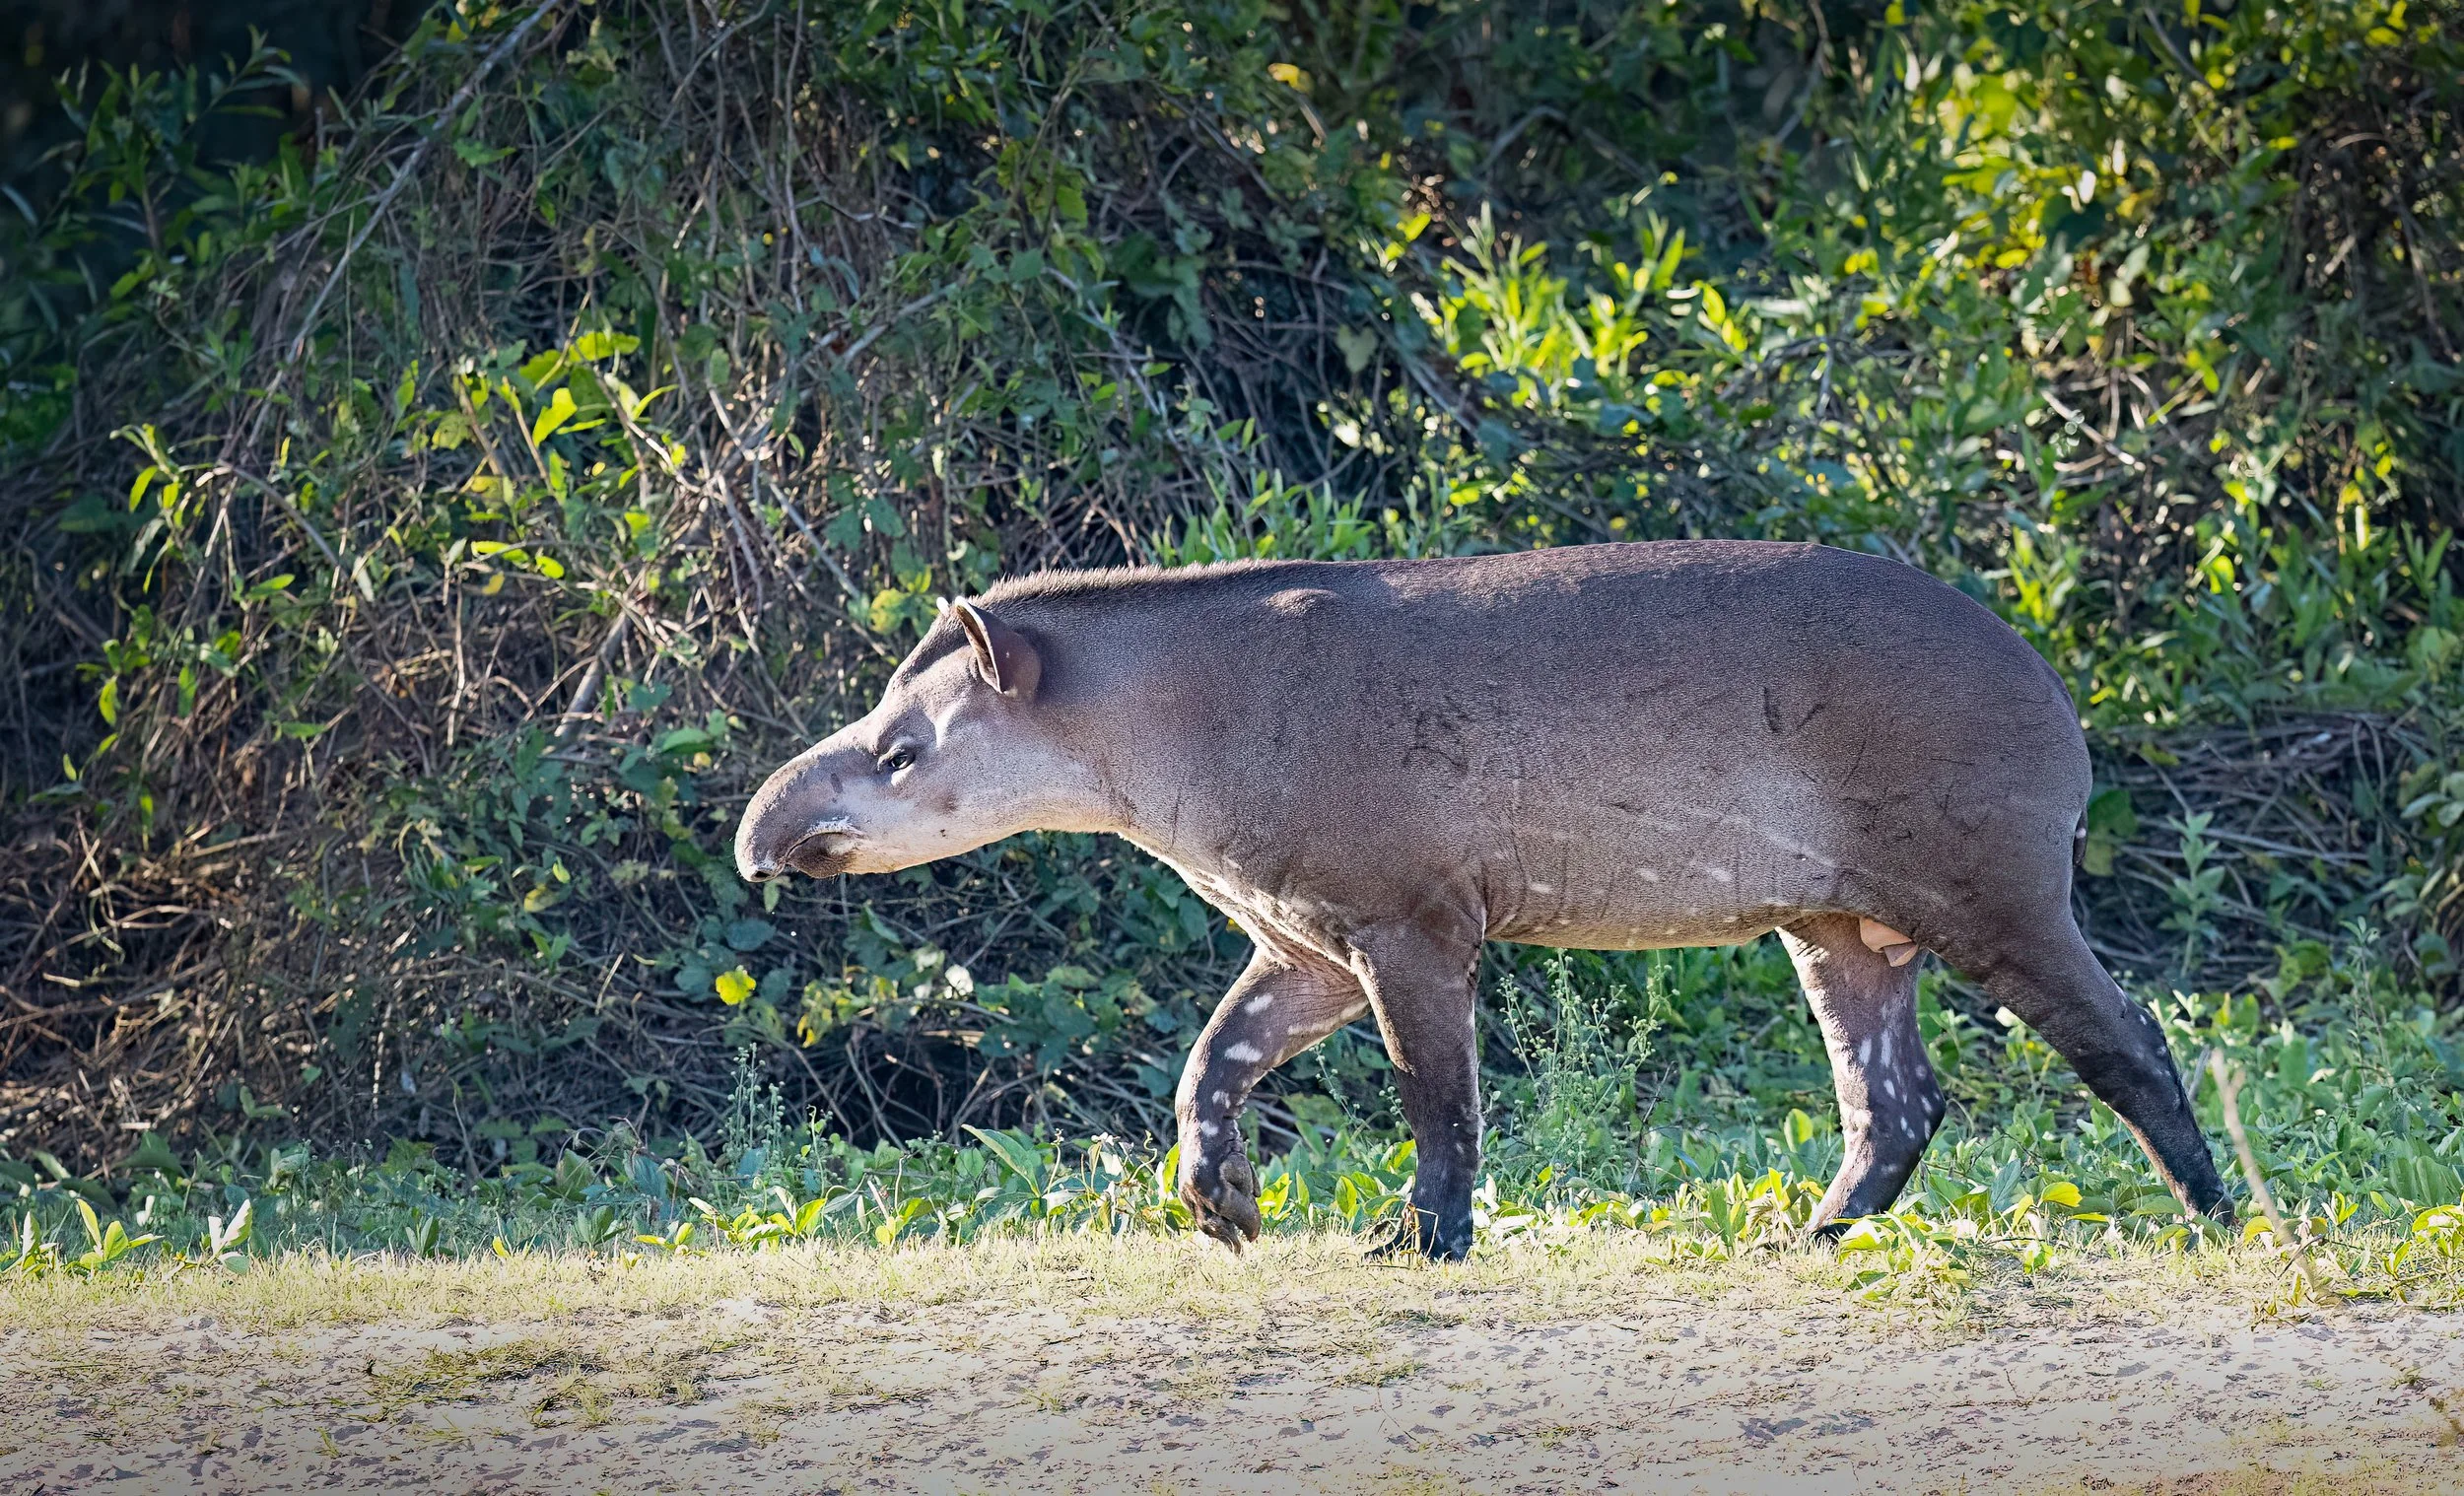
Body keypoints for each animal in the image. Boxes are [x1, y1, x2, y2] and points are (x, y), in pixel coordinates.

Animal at [734, 540, 2229, 1258]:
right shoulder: (1302, 936)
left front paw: (1421, 1240)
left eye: (899, 750)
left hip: (1983, 871)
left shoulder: (1407, 915)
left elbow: (1436, 1098)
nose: (760, 838)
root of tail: (2056, 692)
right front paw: (1224, 1207)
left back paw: (2214, 1217)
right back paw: (1802, 1235)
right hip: (1834, 915)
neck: (1165, 722)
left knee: (2124, 1042)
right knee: (1894, 1099)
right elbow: (1211, 1063)